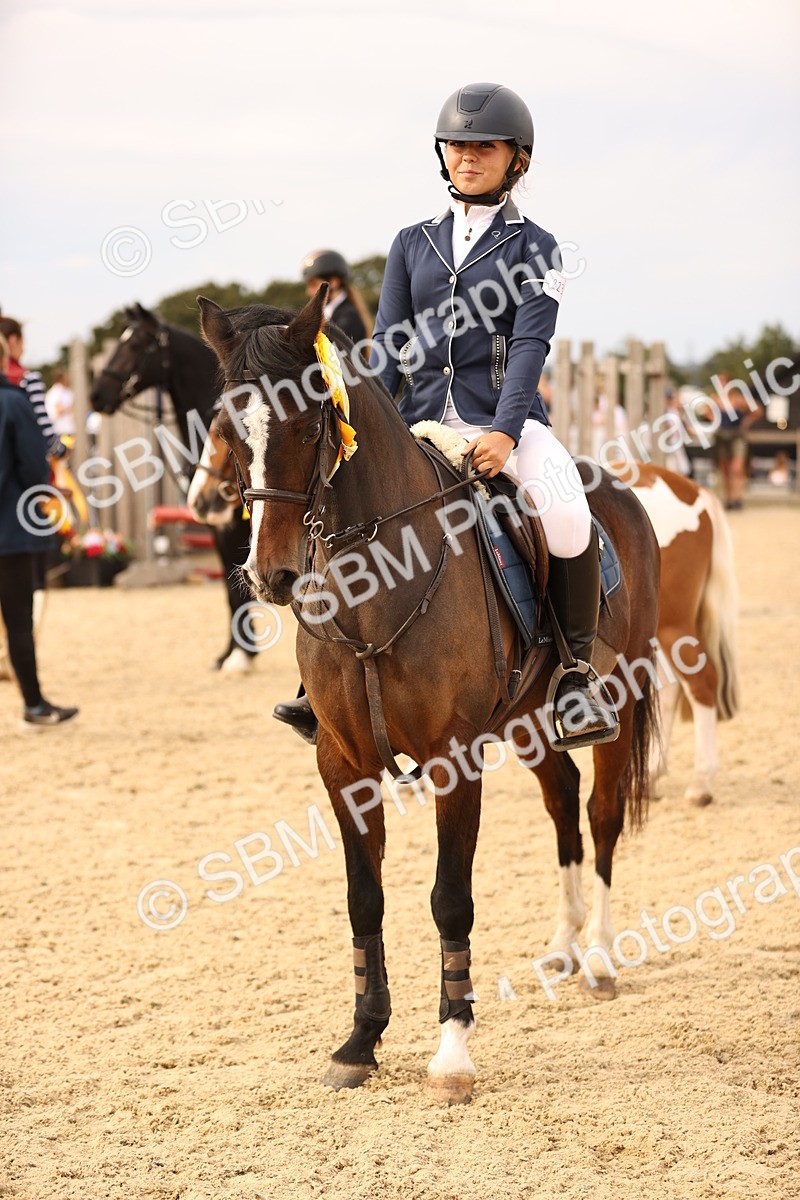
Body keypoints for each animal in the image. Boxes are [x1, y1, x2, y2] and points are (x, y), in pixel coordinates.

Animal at [89, 303, 256, 671]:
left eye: (137, 344)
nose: (97, 395)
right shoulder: (218, 525)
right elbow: (230, 590)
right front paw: (231, 654)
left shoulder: (233, 524)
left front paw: (242, 656)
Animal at [198, 286, 662, 1104]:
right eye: (227, 429)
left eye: (310, 423)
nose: (271, 576)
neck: (378, 584)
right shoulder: (341, 764)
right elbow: (365, 898)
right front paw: (360, 1041)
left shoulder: (454, 759)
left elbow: (450, 897)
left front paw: (451, 1054)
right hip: (528, 725)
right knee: (563, 807)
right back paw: (564, 948)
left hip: (620, 697)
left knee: (602, 815)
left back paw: (602, 959)